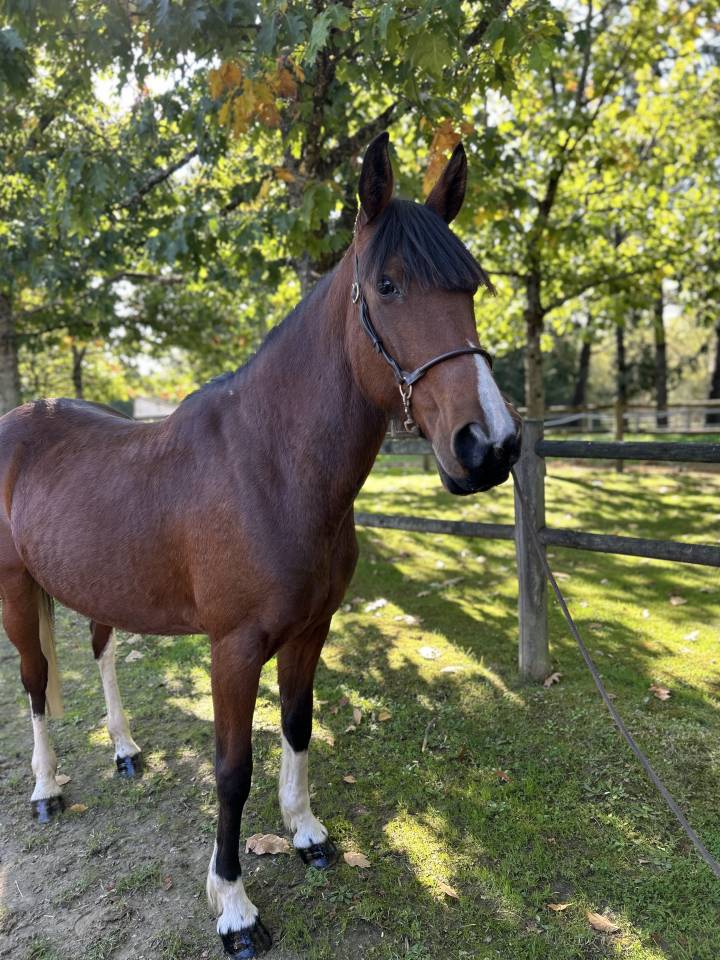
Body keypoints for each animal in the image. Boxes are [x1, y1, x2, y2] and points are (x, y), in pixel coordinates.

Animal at [0, 133, 520, 958]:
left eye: (471, 287)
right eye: (389, 286)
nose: (490, 446)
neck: (273, 466)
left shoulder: (311, 630)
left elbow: (300, 726)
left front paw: (306, 833)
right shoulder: (234, 649)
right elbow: (230, 770)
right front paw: (234, 905)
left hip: (97, 585)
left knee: (102, 652)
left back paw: (124, 750)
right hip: (18, 591)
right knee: (34, 680)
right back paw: (47, 789)